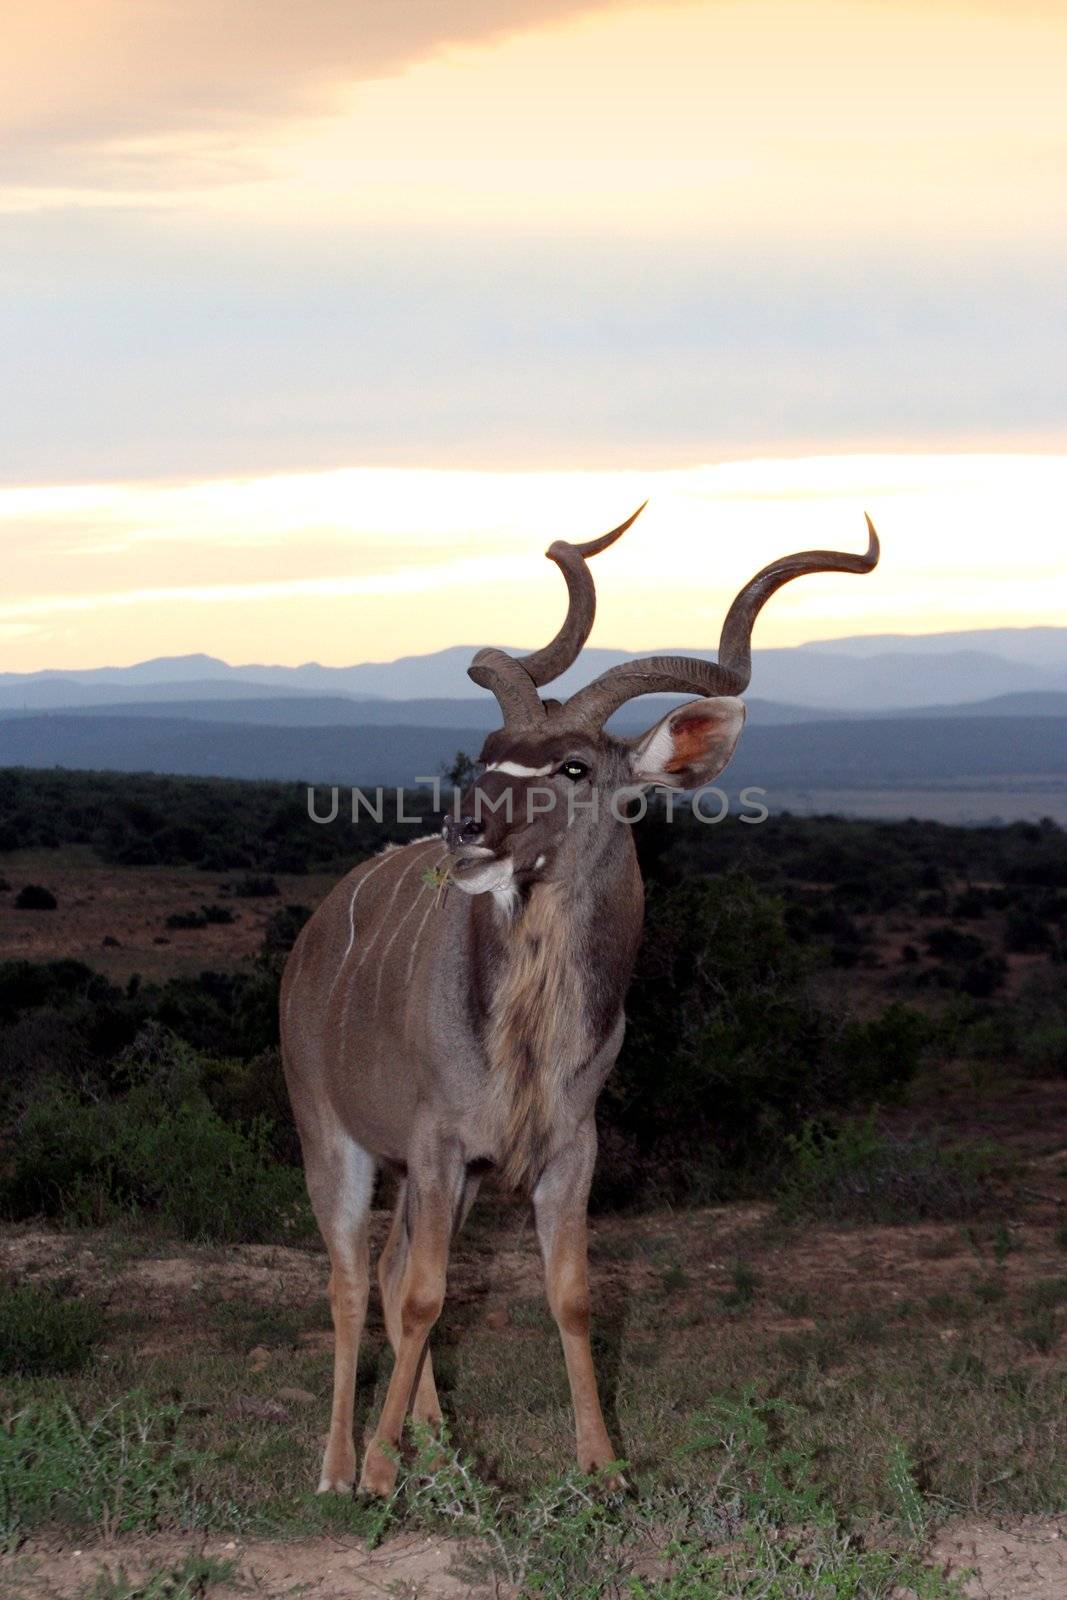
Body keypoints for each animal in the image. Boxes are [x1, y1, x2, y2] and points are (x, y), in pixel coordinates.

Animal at [279, 505, 883, 1491]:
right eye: (491, 755)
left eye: (571, 768)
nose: (465, 829)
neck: (531, 1033)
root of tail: (312, 939)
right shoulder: (438, 1143)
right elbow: (424, 1296)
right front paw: (373, 1474)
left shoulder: (560, 1152)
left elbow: (565, 1298)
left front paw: (602, 1473)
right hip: (333, 1139)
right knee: (351, 1279)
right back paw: (341, 1467)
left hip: (438, 1180)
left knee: (393, 1268)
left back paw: (436, 1448)